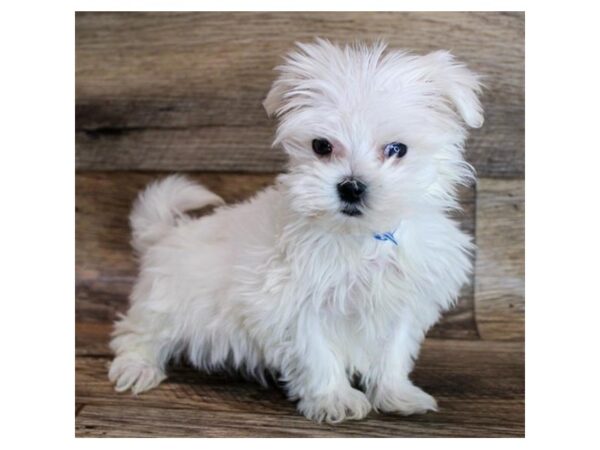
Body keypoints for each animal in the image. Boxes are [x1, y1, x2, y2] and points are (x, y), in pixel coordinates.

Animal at [108, 38, 482, 422]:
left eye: (397, 149)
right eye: (321, 145)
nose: (351, 186)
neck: (360, 236)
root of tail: (166, 234)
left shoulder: (402, 304)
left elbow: (392, 353)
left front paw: (397, 394)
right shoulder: (294, 305)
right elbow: (317, 353)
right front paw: (334, 398)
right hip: (166, 302)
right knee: (138, 332)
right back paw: (137, 366)